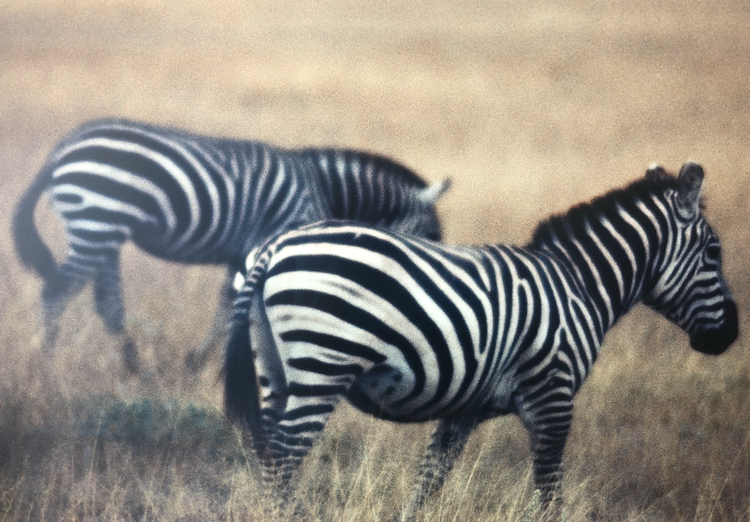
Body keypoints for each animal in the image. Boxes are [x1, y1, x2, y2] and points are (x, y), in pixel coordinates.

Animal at [13, 118, 452, 372]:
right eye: (431, 236)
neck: (320, 187)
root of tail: (62, 147)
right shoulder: (274, 240)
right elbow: (250, 307)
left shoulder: (246, 251)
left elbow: (230, 304)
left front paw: (200, 363)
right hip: (97, 221)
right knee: (57, 292)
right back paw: (45, 367)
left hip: (105, 230)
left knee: (107, 304)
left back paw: (133, 366)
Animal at [223, 161, 740, 516]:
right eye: (714, 252)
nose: (731, 334)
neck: (580, 285)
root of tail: (275, 246)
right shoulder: (553, 399)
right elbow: (549, 492)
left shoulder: (463, 409)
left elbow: (430, 481)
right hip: (322, 365)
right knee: (283, 457)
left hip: (274, 368)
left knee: (268, 456)